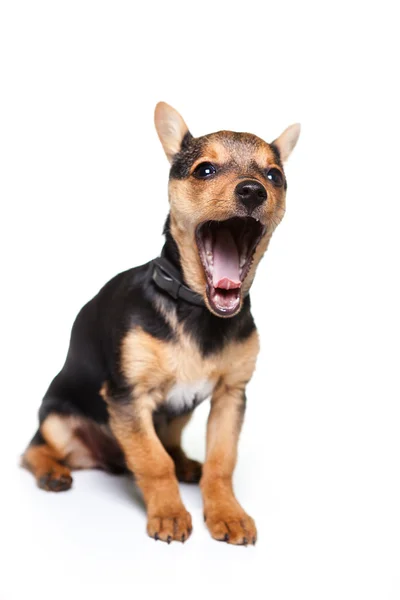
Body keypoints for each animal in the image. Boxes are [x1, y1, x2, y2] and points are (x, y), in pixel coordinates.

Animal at [20, 103, 298, 544]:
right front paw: (168, 513)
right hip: (58, 419)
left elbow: (222, 461)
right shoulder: (128, 398)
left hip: (178, 412)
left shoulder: (231, 396)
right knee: (33, 448)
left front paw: (227, 513)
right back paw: (52, 471)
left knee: (170, 444)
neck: (197, 311)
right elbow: (152, 462)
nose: (254, 190)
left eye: (274, 176)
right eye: (204, 170)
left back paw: (185, 462)